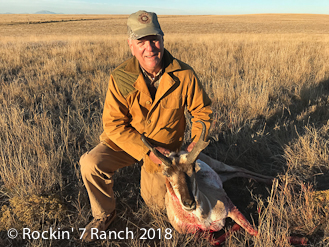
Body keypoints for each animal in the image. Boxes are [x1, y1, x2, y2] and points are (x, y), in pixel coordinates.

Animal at [142, 121, 308, 245]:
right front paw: (234, 228)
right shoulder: (203, 235)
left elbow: (254, 231)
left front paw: (300, 239)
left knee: (240, 168)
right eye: (167, 174)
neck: (202, 217)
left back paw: (278, 182)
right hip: (223, 176)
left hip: (220, 166)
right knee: (238, 172)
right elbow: (216, 240)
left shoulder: (231, 207)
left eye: (193, 167)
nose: (189, 203)